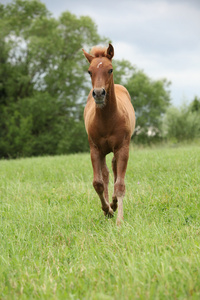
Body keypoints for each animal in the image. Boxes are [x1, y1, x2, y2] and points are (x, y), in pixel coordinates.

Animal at [82, 43, 135, 224]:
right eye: (89, 71)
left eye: (110, 69)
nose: (99, 93)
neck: (107, 119)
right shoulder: (95, 149)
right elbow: (98, 182)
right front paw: (107, 210)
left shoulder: (123, 148)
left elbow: (120, 184)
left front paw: (119, 220)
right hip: (104, 151)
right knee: (106, 174)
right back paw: (110, 206)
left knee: (114, 169)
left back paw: (114, 202)